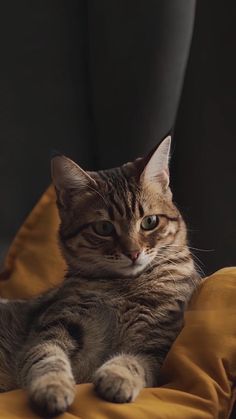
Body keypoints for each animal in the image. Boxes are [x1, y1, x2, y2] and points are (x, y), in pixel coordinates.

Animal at [0, 137, 201, 416]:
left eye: (149, 222)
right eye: (104, 227)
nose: (133, 253)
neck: (122, 288)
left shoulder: (156, 342)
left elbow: (133, 360)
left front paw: (117, 378)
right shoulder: (50, 329)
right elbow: (47, 359)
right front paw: (53, 388)